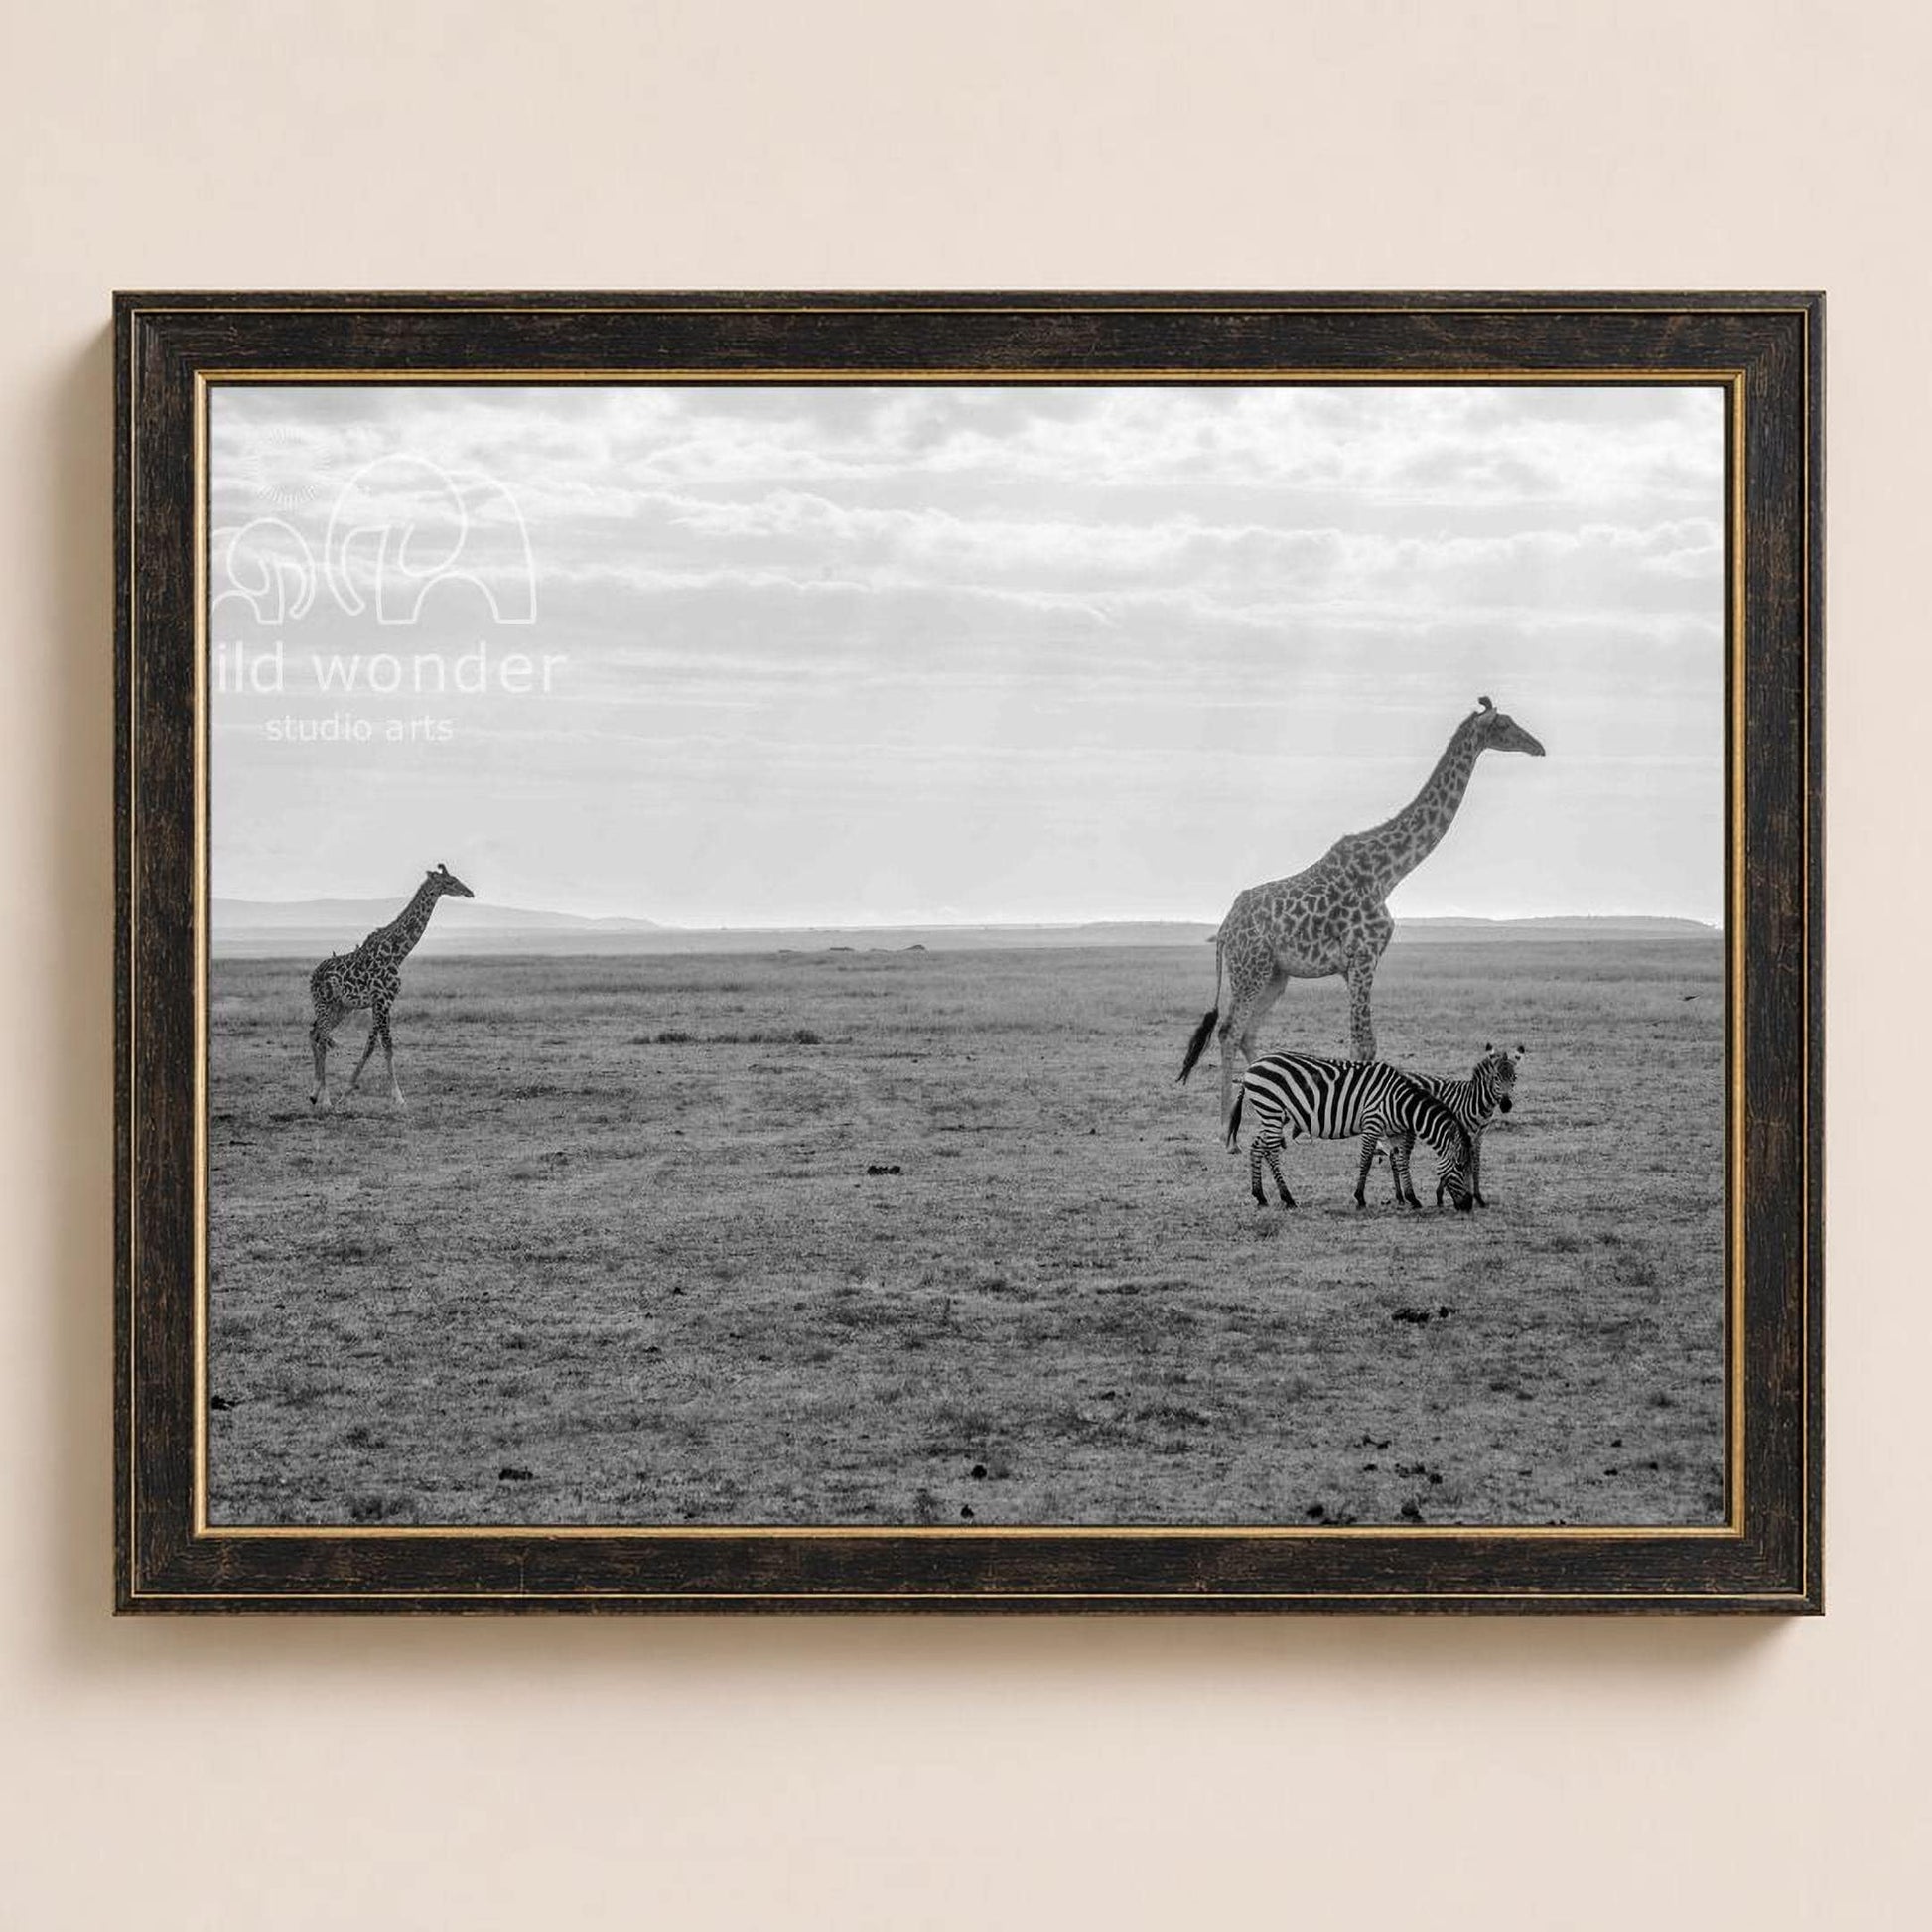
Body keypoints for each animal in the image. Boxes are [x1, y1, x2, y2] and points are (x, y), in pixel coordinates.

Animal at [308, 863, 475, 1112]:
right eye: (450, 881)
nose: (469, 892)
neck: (397, 954)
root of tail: (312, 976)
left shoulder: (384, 1002)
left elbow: (372, 1044)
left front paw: (346, 1093)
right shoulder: (381, 1000)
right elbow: (386, 1044)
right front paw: (398, 1097)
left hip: (341, 1007)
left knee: (315, 1033)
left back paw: (314, 1094)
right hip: (323, 1002)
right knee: (322, 1040)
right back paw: (325, 1099)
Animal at [1178, 698, 1545, 1125]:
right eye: (1505, 724)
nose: (1538, 747)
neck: (1388, 872)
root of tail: (1224, 930)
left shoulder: (1355, 965)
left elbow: (1364, 1043)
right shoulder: (1363, 957)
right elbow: (1364, 1045)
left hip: (1275, 975)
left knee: (1248, 1033)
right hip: (1250, 969)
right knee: (1230, 1030)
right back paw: (1225, 1127)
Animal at [1226, 1051, 1476, 1213]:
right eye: (1460, 1166)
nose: (1468, 1206)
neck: (1400, 1104)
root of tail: (1251, 1067)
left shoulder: (1395, 1132)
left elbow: (1402, 1161)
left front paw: (1412, 1198)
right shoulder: (1372, 1123)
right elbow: (1366, 1160)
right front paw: (1360, 1198)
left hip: (1274, 1114)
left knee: (1257, 1146)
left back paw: (1260, 1195)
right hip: (1271, 1109)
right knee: (1271, 1150)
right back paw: (1287, 1198)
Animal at [1368, 1044, 1522, 1210]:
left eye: (1514, 1078)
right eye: (1496, 1078)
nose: (1506, 1105)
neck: (1476, 1101)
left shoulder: (1479, 1136)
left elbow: (1475, 1164)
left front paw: (1478, 1198)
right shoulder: (1461, 1133)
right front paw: (1442, 1196)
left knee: (1393, 1155)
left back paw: (1400, 1196)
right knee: (1401, 1156)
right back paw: (1406, 1197)